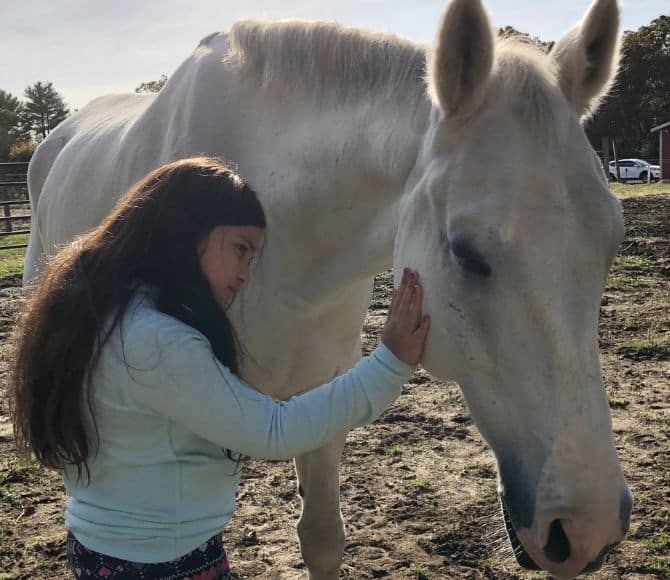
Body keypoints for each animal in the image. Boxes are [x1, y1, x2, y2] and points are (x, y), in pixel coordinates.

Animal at [25, 1, 636, 580]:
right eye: (467, 254)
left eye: (612, 241)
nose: (590, 528)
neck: (279, 240)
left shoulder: (321, 395)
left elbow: (320, 536)